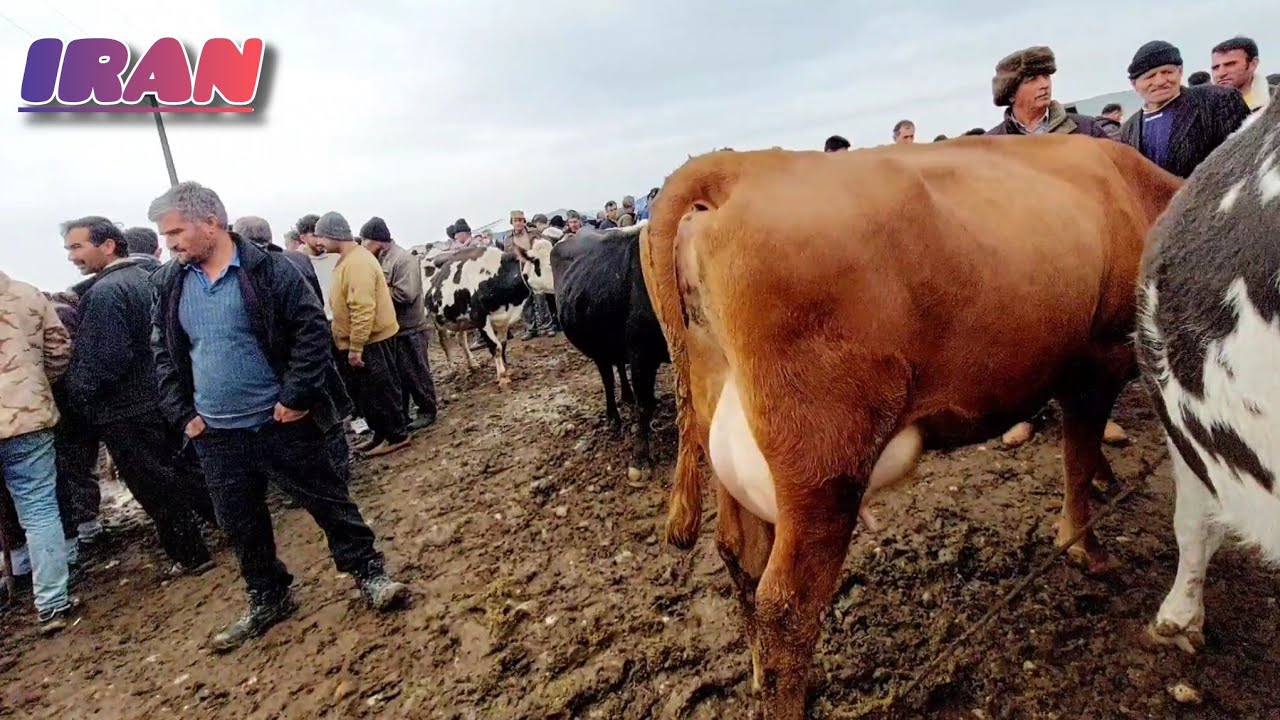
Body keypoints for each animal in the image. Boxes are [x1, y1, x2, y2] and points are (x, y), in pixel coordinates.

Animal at [424, 246, 529, 386]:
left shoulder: (504, 318)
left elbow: (503, 344)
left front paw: (506, 368)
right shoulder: (479, 318)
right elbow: (495, 346)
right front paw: (502, 376)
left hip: (459, 319)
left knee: (461, 339)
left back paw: (472, 364)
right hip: (438, 320)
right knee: (444, 342)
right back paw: (452, 368)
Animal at [551, 222, 670, 480]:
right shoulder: (640, 353)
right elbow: (644, 404)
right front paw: (640, 459)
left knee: (619, 368)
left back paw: (627, 396)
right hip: (598, 348)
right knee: (607, 378)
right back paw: (613, 418)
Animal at [639, 137, 1181, 719]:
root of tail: (740, 165)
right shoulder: (1101, 359)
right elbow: (1077, 458)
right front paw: (1086, 546)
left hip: (728, 437)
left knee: (742, 559)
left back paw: (759, 677)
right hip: (824, 467)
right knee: (786, 605)